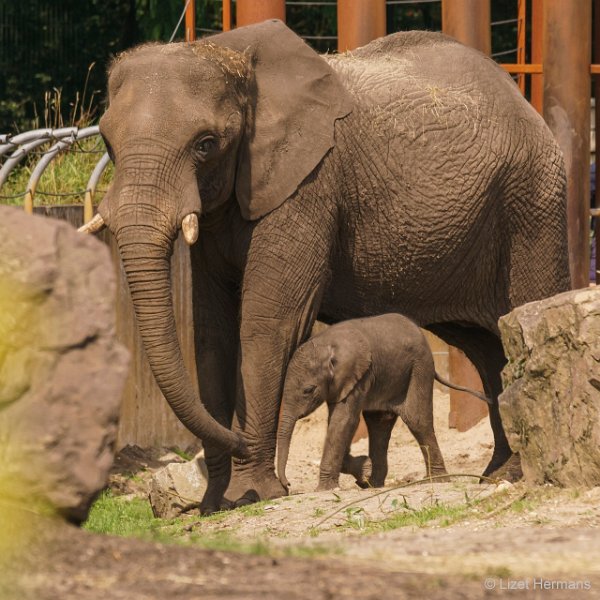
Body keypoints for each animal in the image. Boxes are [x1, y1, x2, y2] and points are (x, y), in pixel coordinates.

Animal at [278, 312, 490, 490]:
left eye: (308, 390)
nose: (287, 485)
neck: (326, 342)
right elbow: (340, 423)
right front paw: (364, 469)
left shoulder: (358, 376)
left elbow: (343, 421)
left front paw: (327, 489)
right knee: (379, 423)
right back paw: (374, 484)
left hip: (419, 367)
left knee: (417, 420)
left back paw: (437, 481)